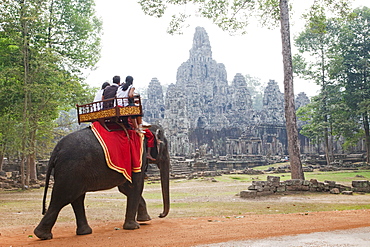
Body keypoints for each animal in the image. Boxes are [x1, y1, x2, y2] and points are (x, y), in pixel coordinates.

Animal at [34, 124, 170, 240]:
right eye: (165, 147)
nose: (160, 214)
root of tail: (57, 149)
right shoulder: (137, 155)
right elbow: (135, 186)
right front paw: (135, 226)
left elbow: (125, 188)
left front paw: (145, 220)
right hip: (71, 170)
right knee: (63, 197)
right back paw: (42, 235)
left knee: (76, 198)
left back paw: (84, 232)